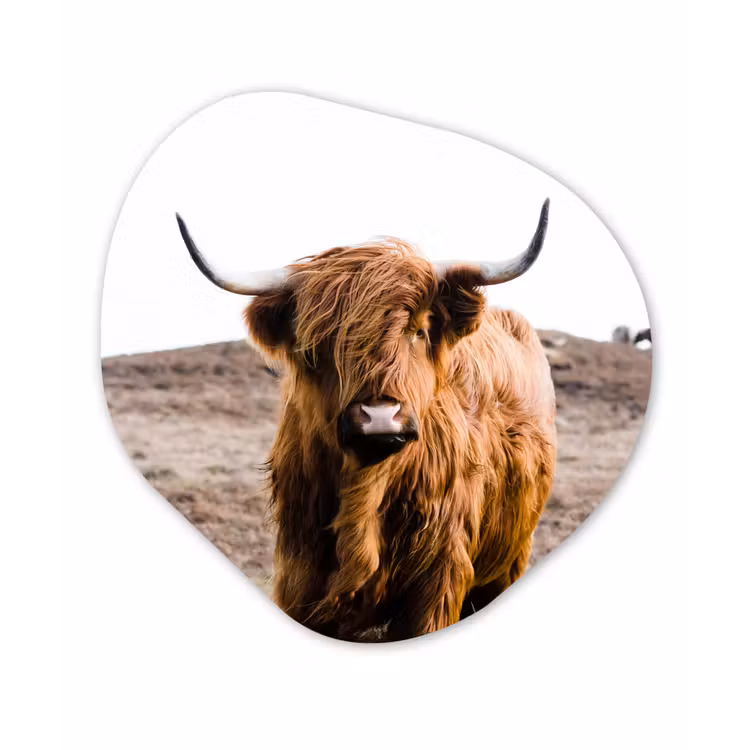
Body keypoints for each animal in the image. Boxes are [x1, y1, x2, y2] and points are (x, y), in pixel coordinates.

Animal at [175, 199, 557, 642]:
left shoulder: (438, 582)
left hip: (510, 557)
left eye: (419, 330)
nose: (379, 417)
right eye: (316, 344)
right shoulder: (299, 572)